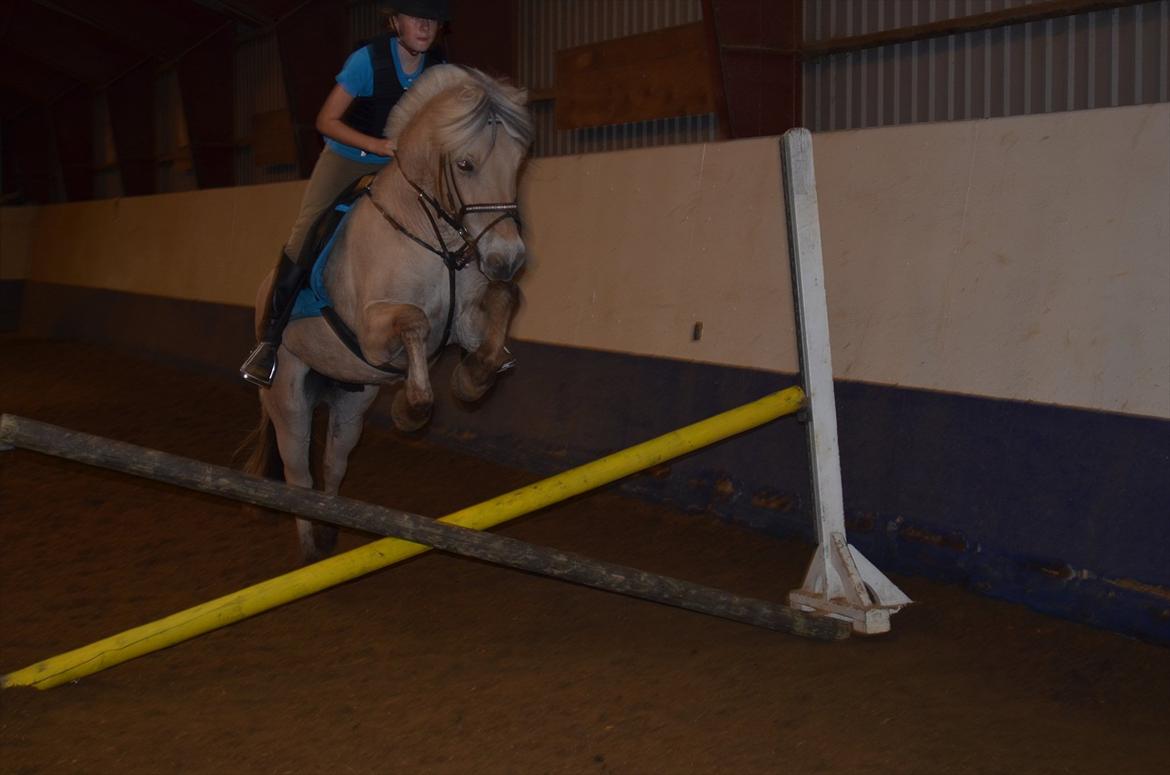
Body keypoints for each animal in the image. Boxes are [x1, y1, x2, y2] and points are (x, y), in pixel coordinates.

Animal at [244, 65, 533, 564]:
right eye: (465, 165)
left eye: (516, 163)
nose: (508, 258)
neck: (432, 237)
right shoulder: (372, 331)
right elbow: (414, 322)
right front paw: (411, 410)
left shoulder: (463, 321)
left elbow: (503, 303)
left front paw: (473, 379)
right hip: (288, 397)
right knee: (299, 473)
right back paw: (311, 550)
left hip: (351, 401)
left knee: (333, 464)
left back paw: (331, 534)